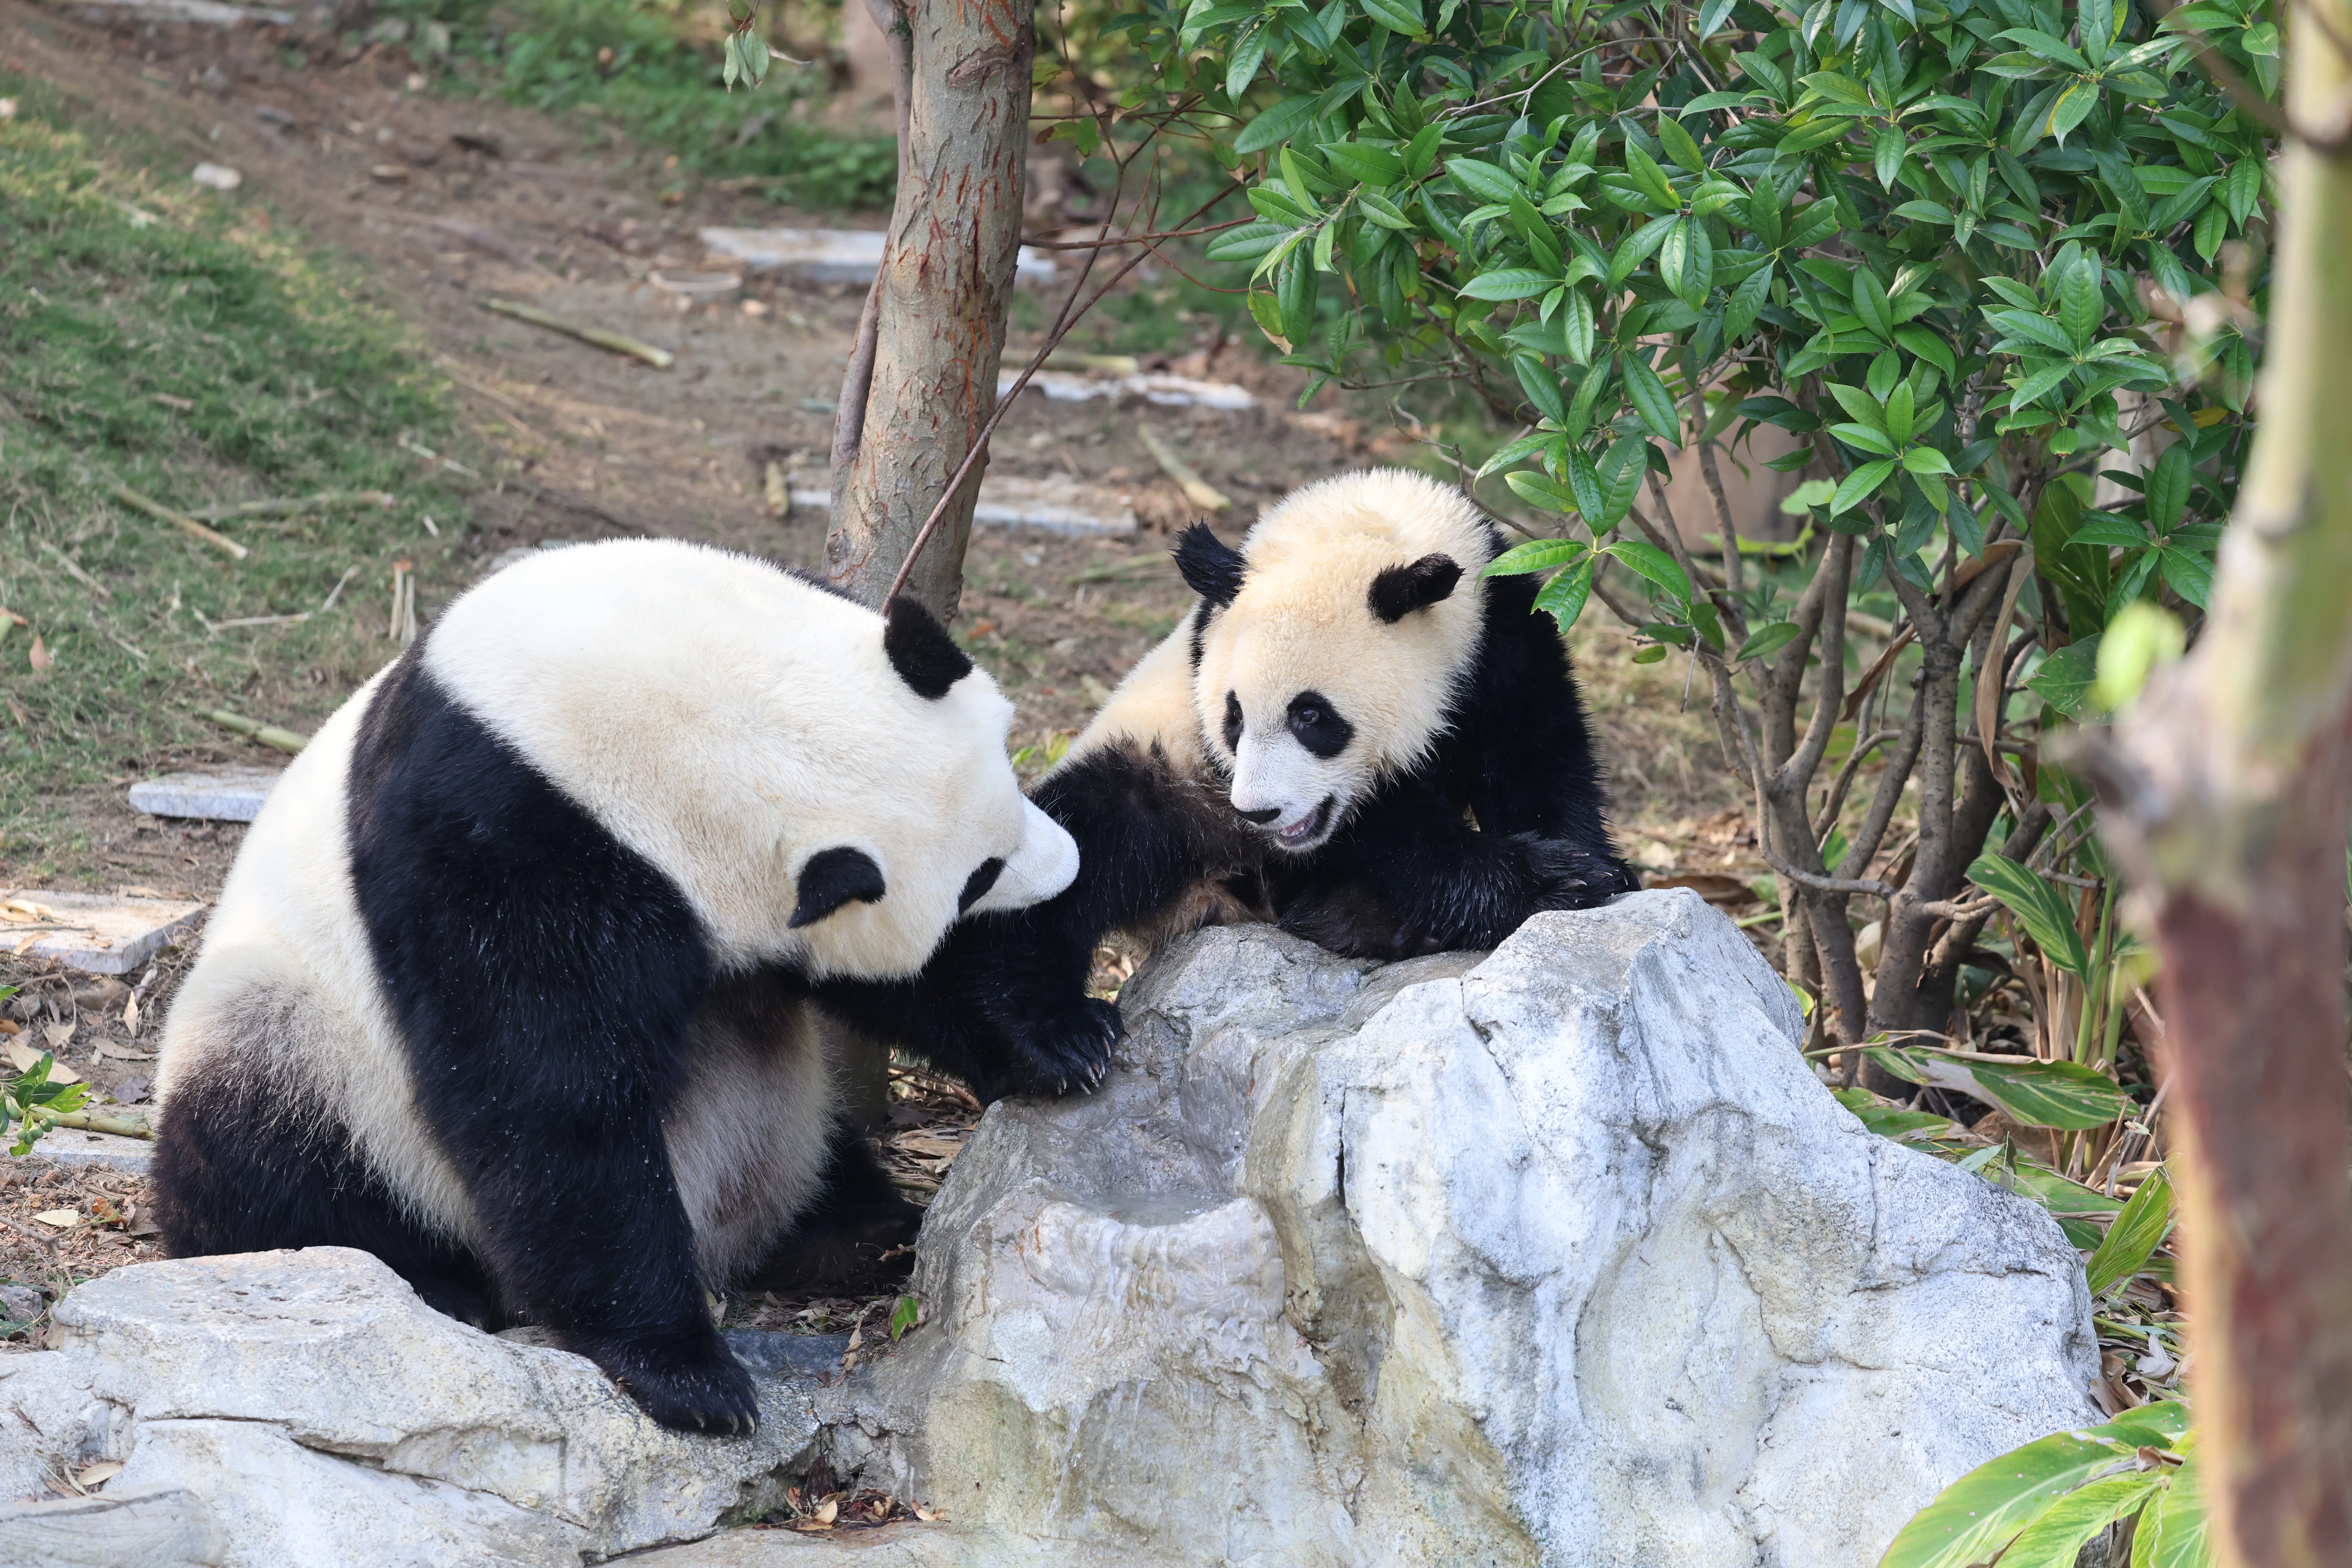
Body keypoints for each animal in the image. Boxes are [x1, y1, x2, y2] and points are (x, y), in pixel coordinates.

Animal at [152, 539, 1084, 1434]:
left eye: (1009, 766)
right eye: (977, 875)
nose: (1067, 864)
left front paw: (1057, 1041)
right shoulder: (493, 834)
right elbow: (546, 1093)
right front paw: (686, 1373)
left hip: (788, 1124)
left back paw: (854, 1230)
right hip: (312, 1043)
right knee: (261, 1136)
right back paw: (429, 1277)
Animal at [931, 468, 1637, 1076]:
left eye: (1311, 716)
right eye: (1234, 717)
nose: (1260, 812)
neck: (1362, 523)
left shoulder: (1499, 631)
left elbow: (1535, 752)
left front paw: (1597, 866)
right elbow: (1396, 838)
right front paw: (1555, 878)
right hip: (1159, 773)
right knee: (1071, 852)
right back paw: (1057, 1037)